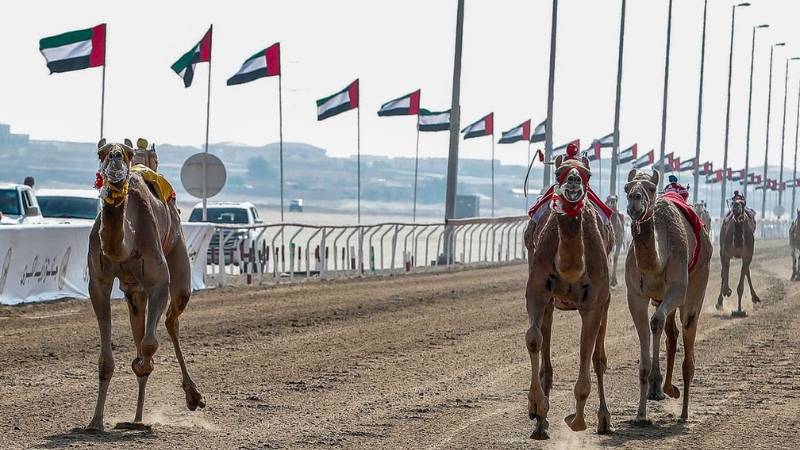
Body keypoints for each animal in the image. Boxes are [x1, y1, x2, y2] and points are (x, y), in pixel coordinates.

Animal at [86, 140, 204, 431]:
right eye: (101, 152)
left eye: (125, 154)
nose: (116, 158)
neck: (125, 244)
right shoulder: (98, 283)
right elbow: (106, 359)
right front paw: (95, 421)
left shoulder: (158, 281)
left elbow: (150, 345)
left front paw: (142, 364)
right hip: (133, 291)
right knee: (141, 325)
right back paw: (137, 418)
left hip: (177, 253)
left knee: (171, 319)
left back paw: (191, 397)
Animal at [524, 150, 613, 440]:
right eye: (559, 171)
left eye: (587, 174)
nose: (573, 181)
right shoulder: (537, 291)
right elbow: (533, 339)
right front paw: (537, 407)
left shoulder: (594, 304)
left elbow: (586, 353)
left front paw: (577, 421)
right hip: (551, 304)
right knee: (546, 353)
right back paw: (541, 425)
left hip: (606, 302)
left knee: (598, 358)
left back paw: (604, 419)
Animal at [624, 169, 712, 423]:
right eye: (627, 187)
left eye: (651, 188)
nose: (634, 200)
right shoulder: (635, 295)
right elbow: (649, 332)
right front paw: (641, 414)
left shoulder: (677, 287)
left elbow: (656, 322)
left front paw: (656, 391)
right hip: (661, 298)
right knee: (671, 332)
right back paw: (667, 388)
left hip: (698, 281)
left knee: (687, 329)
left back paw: (683, 413)